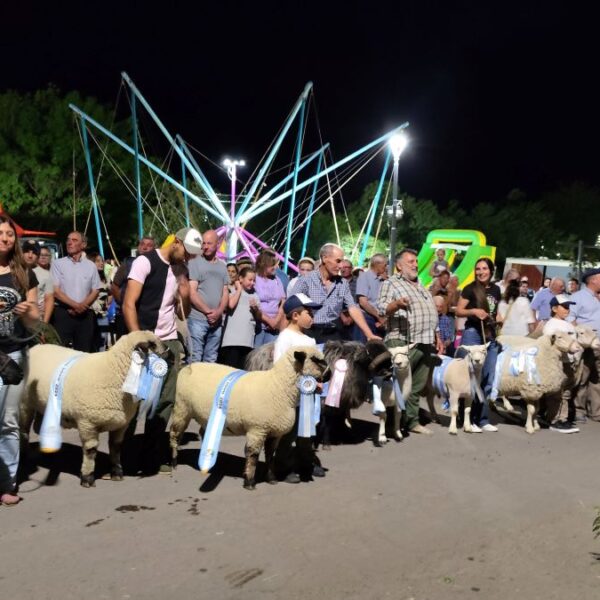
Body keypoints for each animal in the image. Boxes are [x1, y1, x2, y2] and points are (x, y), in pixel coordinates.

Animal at [20, 330, 166, 490]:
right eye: (151, 344)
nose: (168, 350)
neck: (113, 371)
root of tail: (35, 348)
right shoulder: (87, 423)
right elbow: (90, 451)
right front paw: (87, 478)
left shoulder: (121, 424)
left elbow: (116, 447)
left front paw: (116, 473)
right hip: (25, 404)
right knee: (24, 432)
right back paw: (24, 457)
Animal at [169, 344, 328, 490]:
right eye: (315, 359)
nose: (329, 374)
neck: (277, 387)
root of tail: (188, 366)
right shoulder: (257, 429)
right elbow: (253, 455)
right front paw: (249, 482)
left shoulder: (273, 432)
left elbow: (270, 455)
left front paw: (271, 478)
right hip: (182, 408)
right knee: (175, 434)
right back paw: (174, 462)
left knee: (202, 433)